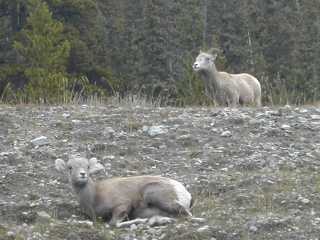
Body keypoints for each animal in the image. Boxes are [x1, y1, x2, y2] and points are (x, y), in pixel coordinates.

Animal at [54, 157, 192, 226]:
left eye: (87, 167)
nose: (82, 174)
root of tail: (185, 192)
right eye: (70, 168)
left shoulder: (122, 206)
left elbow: (113, 223)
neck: (94, 197)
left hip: (153, 194)